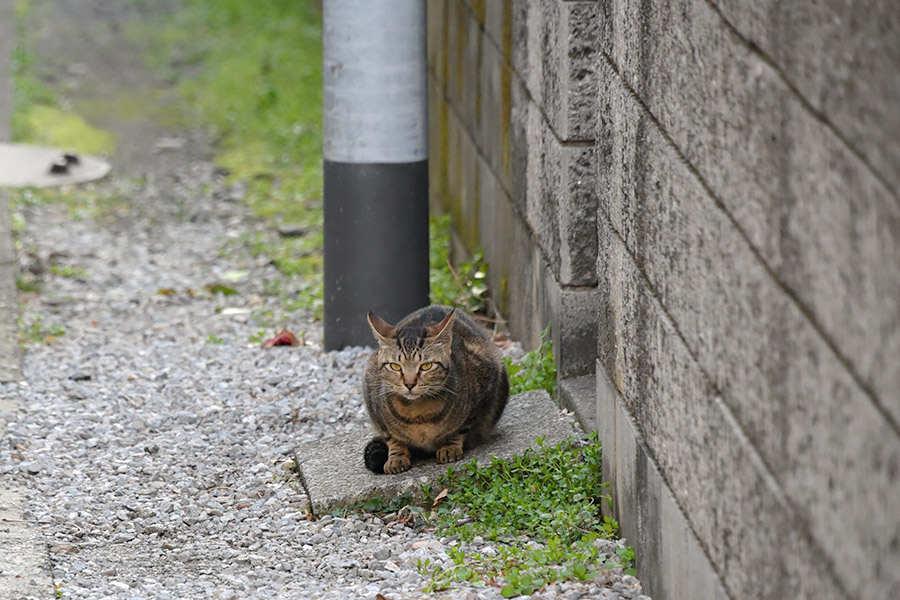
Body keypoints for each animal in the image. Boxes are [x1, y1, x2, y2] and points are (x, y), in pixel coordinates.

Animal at [362, 304, 510, 474]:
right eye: (395, 366)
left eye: (426, 366)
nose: (409, 384)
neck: (418, 414)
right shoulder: (373, 402)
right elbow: (391, 437)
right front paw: (396, 456)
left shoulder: (484, 387)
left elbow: (461, 428)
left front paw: (450, 447)